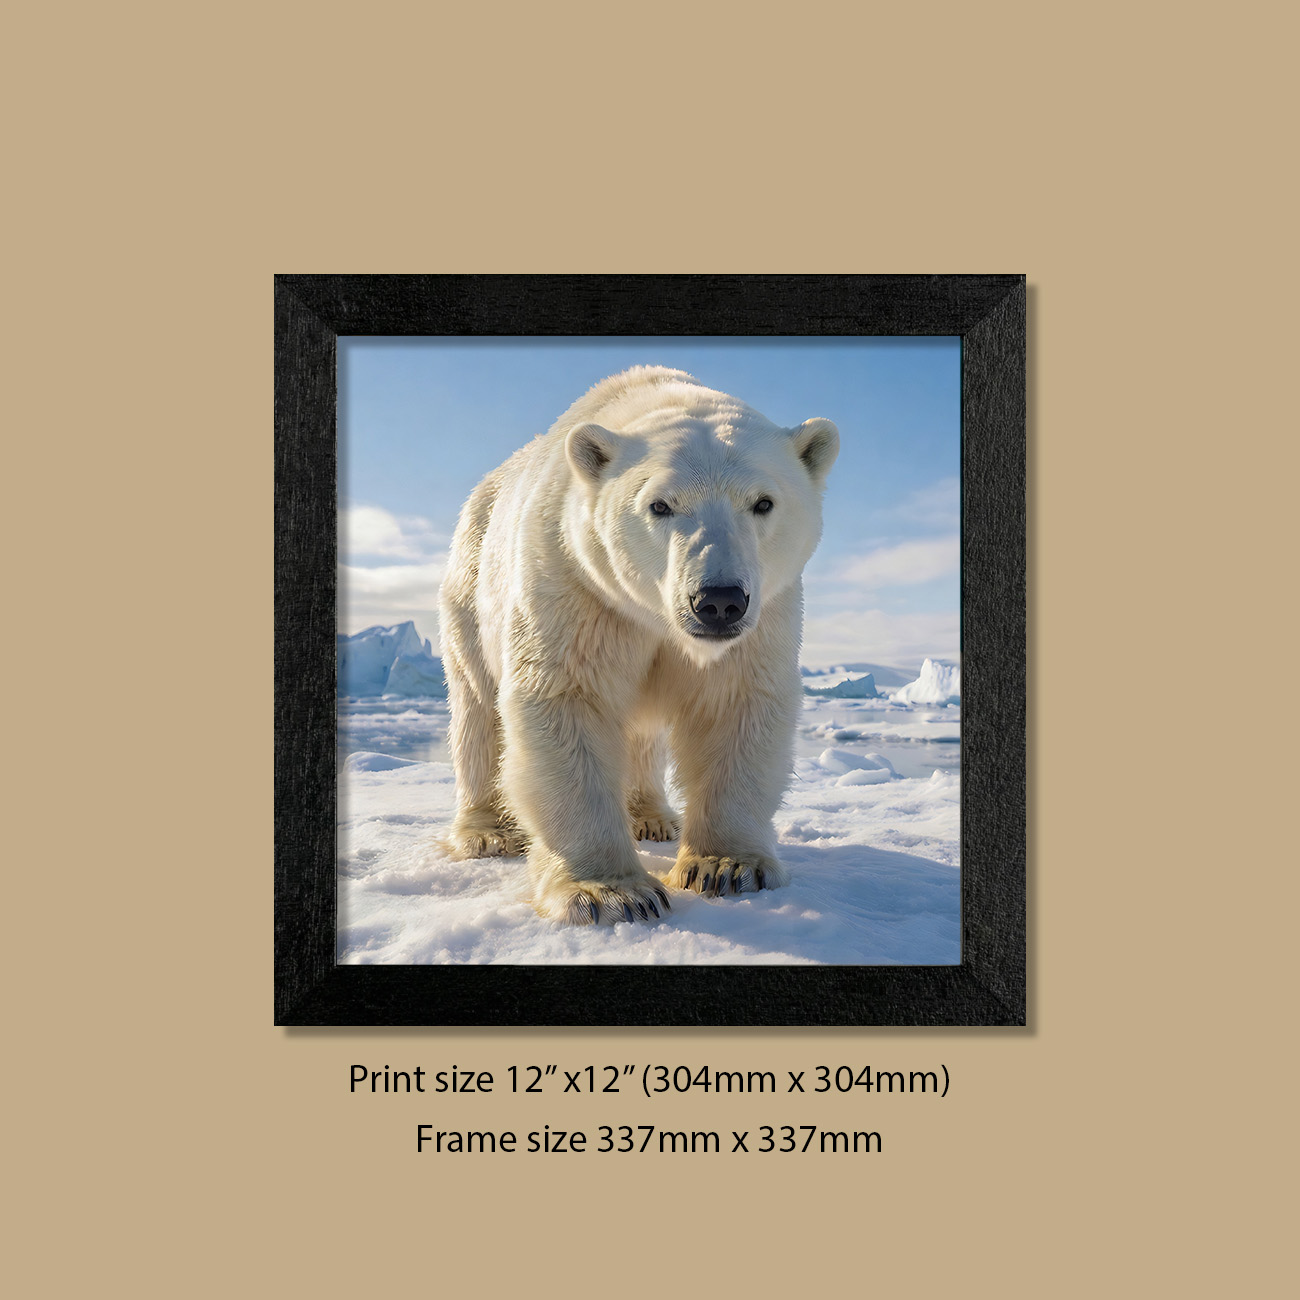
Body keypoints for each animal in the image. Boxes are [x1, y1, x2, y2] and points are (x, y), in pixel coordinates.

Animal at [439, 366, 838, 924]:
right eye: (660, 504)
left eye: (763, 502)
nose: (718, 601)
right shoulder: (578, 585)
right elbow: (569, 700)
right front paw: (611, 892)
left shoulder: (764, 616)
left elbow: (735, 704)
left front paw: (728, 867)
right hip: (471, 581)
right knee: (476, 705)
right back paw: (487, 832)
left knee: (643, 735)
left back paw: (652, 817)